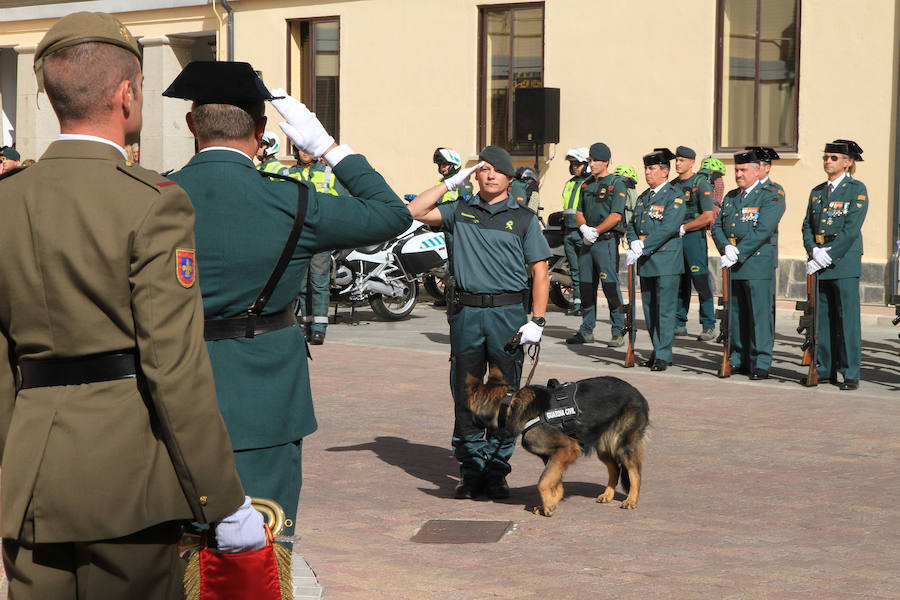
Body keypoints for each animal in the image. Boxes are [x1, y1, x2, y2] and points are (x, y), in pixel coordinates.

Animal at [468, 368, 652, 516]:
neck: (510, 405)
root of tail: (637, 392)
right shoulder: (553, 456)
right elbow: (555, 483)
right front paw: (549, 503)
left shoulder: (567, 448)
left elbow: (543, 482)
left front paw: (548, 505)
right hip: (603, 448)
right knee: (615, 468)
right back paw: (608, 494)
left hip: (623, 445)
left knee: (635, 473)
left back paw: (631, 500)